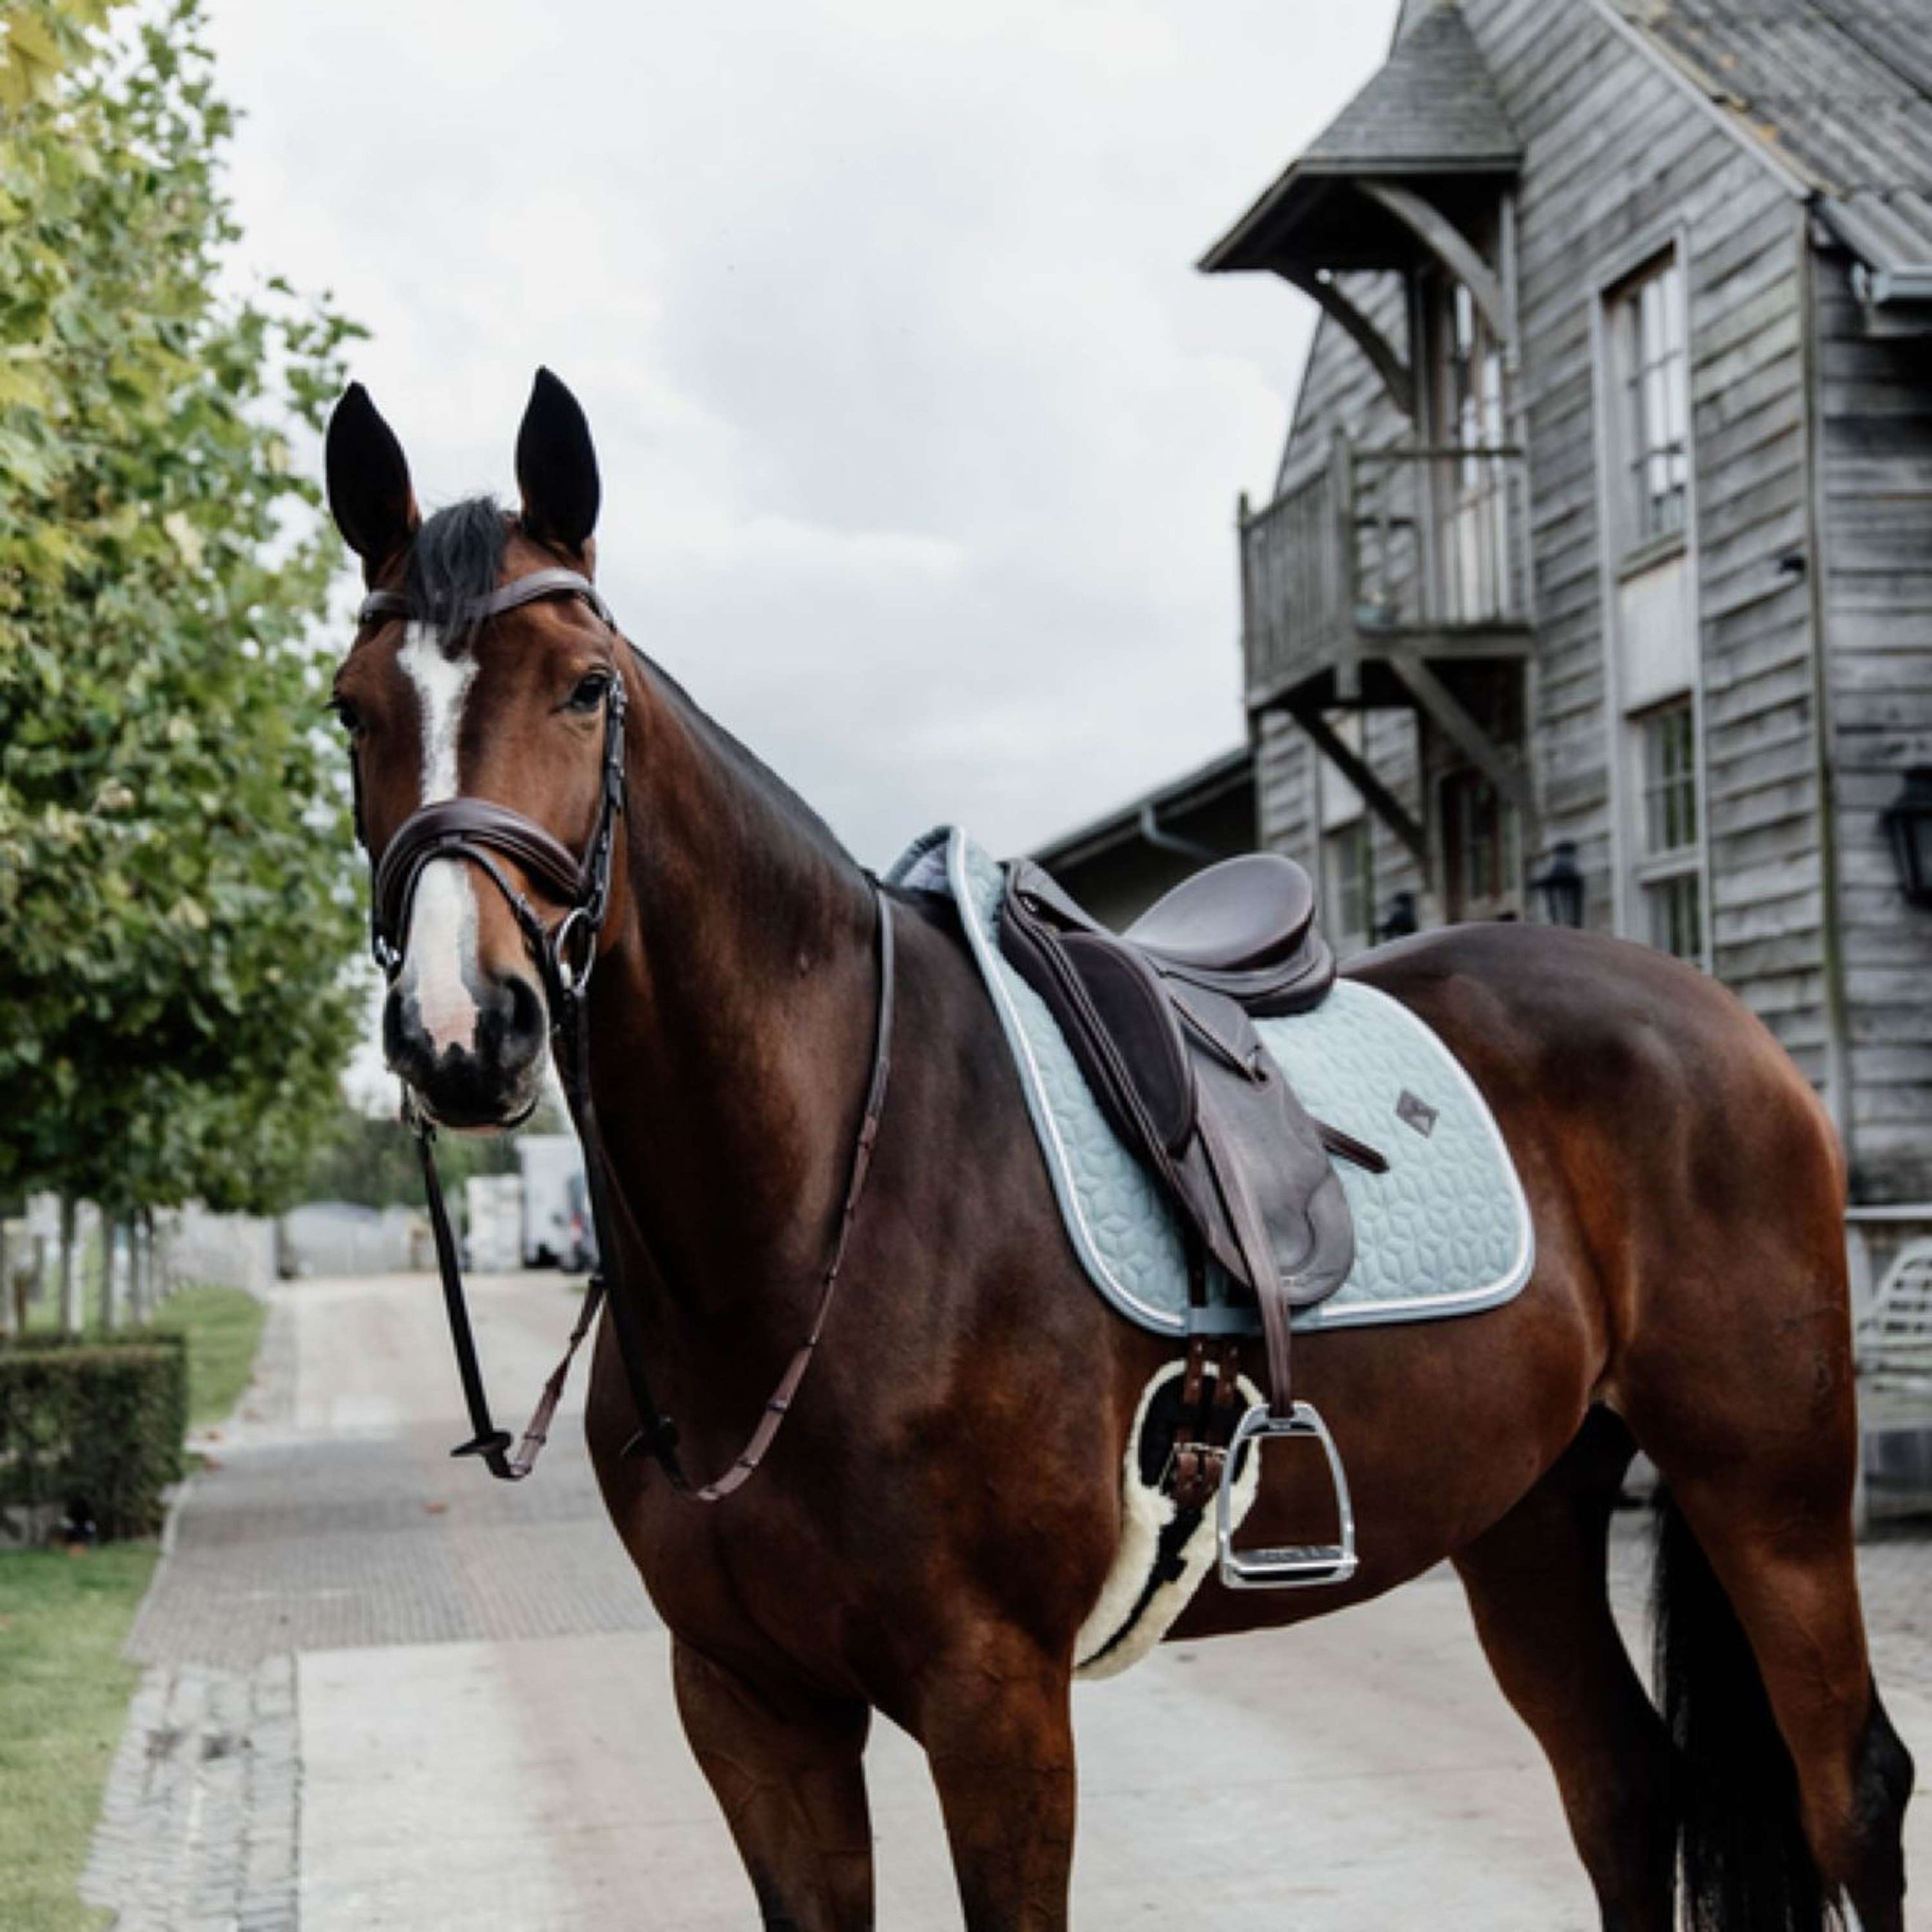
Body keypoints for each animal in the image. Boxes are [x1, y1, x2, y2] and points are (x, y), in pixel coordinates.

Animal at [324, 369, 1909, 1924]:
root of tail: (1723, 1022)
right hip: (1528, 1511)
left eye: (587, 688)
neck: (813, 1210)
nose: (464, 1029)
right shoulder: (750, 1711)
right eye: (351, 710)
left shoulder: (996, 1703)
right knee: (1624, 1793)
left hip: (1766, 1492)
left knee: (1851, 1796)